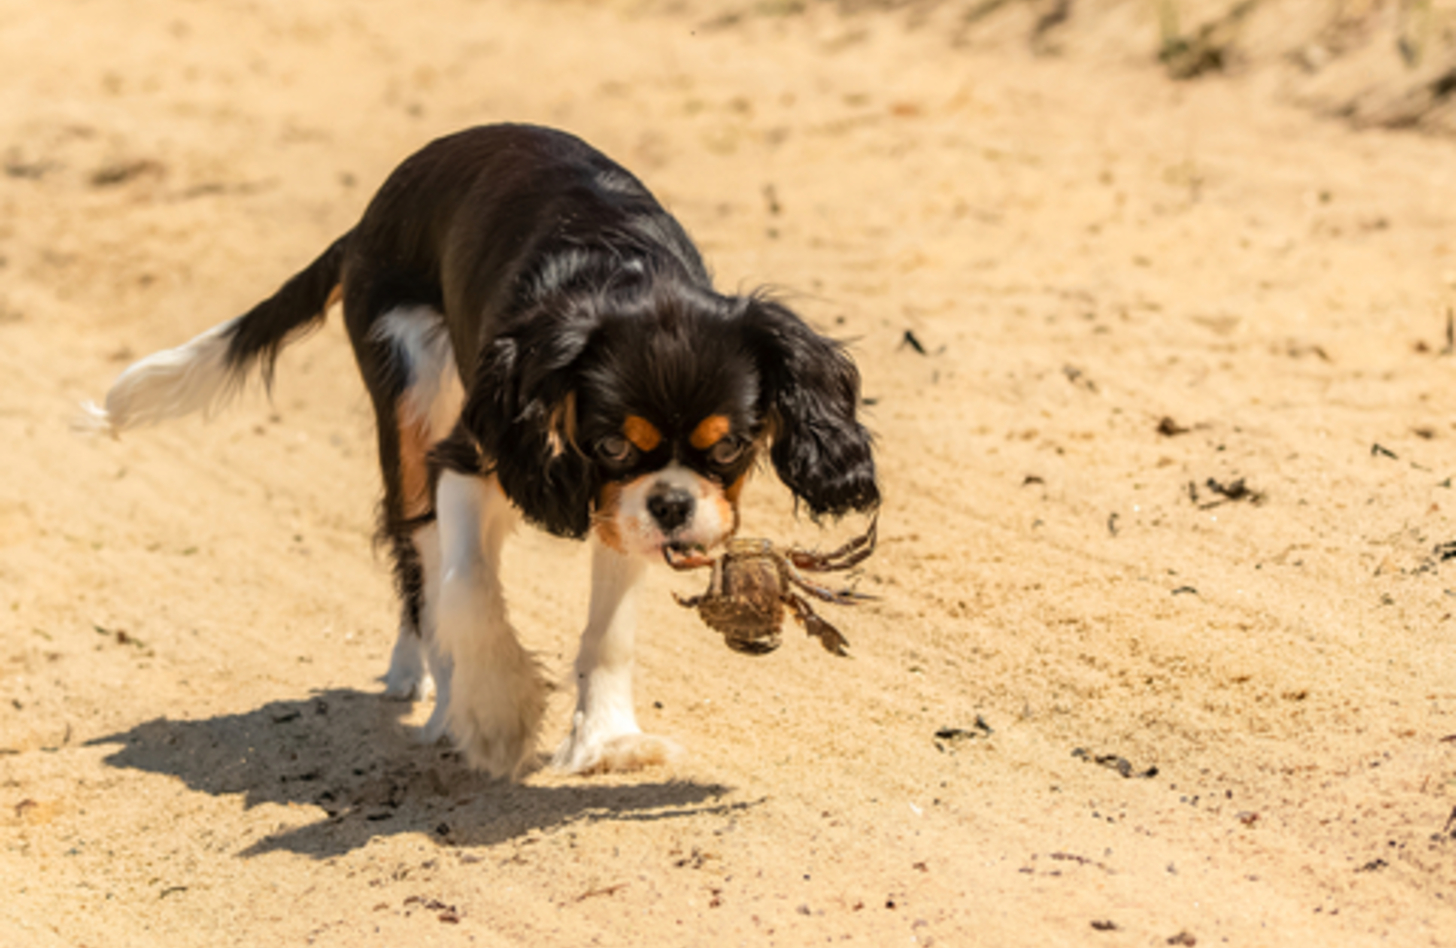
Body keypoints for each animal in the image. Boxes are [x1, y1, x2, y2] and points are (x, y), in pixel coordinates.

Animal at [85, 124, 879, 780]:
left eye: (732, 446)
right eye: (612, 444)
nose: (675, 505)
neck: (620, 279)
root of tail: (369, 220)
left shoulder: (619, 514)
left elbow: (609, 632)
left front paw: (607, 740)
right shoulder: (472, 455)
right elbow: (465, 585)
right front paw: (498, 714)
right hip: (412, 394)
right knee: (419, 559)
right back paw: (438, 693)